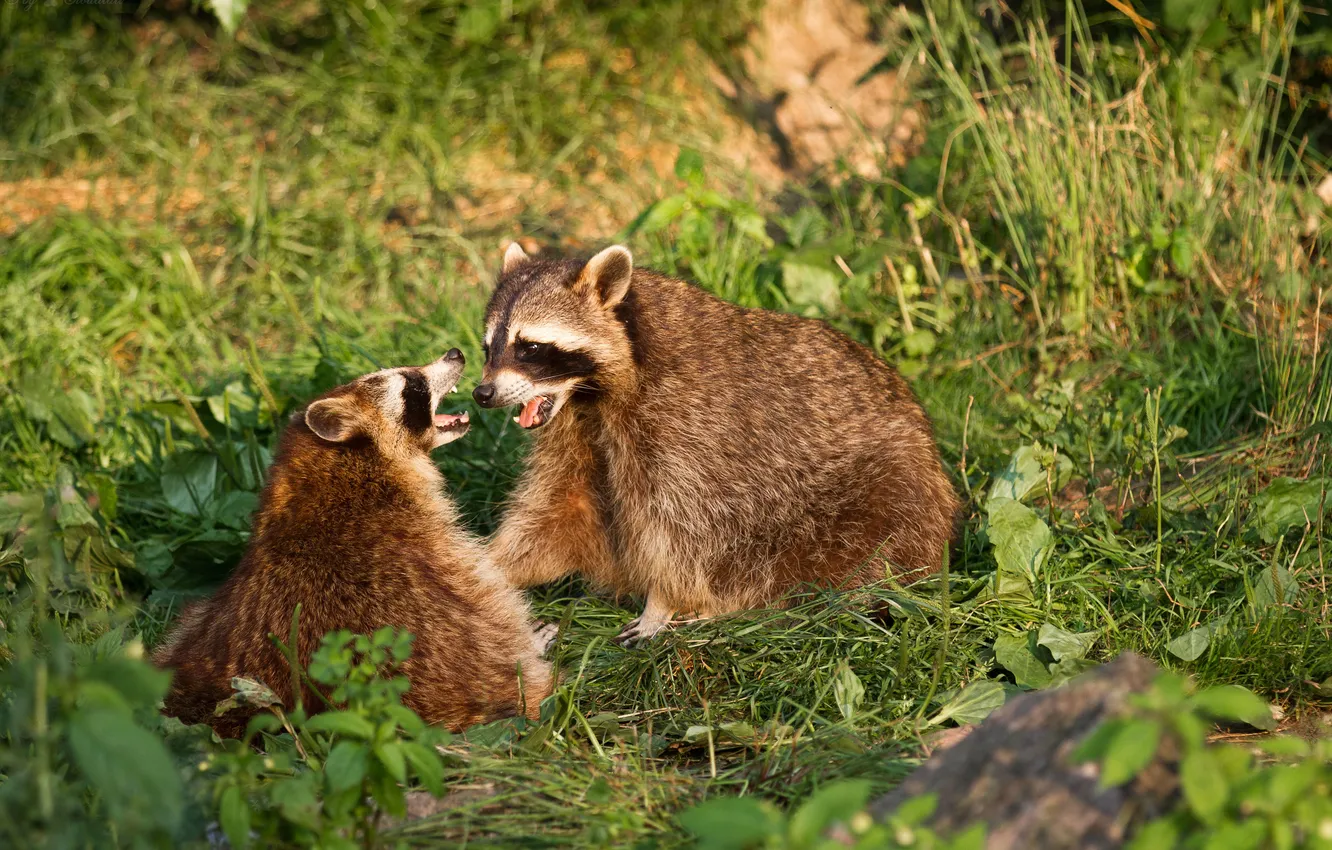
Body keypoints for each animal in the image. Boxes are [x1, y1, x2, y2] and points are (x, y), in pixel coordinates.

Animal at [153, 351, 554, 740]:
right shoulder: (443, 560)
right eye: (411, 385)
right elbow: (501, 614)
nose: (455, 353)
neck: (338, 469)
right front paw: (532, 643)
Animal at [474, 242, 964, 642]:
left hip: (885, 497)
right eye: (488, 348)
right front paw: (489, 566)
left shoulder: (689, 429)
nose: (482, 393)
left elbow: (683, 532)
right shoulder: (576, 434)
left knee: (864, 552)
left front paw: (661, 603)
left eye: (530, 347)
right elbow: (557, 510)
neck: (590, 396)